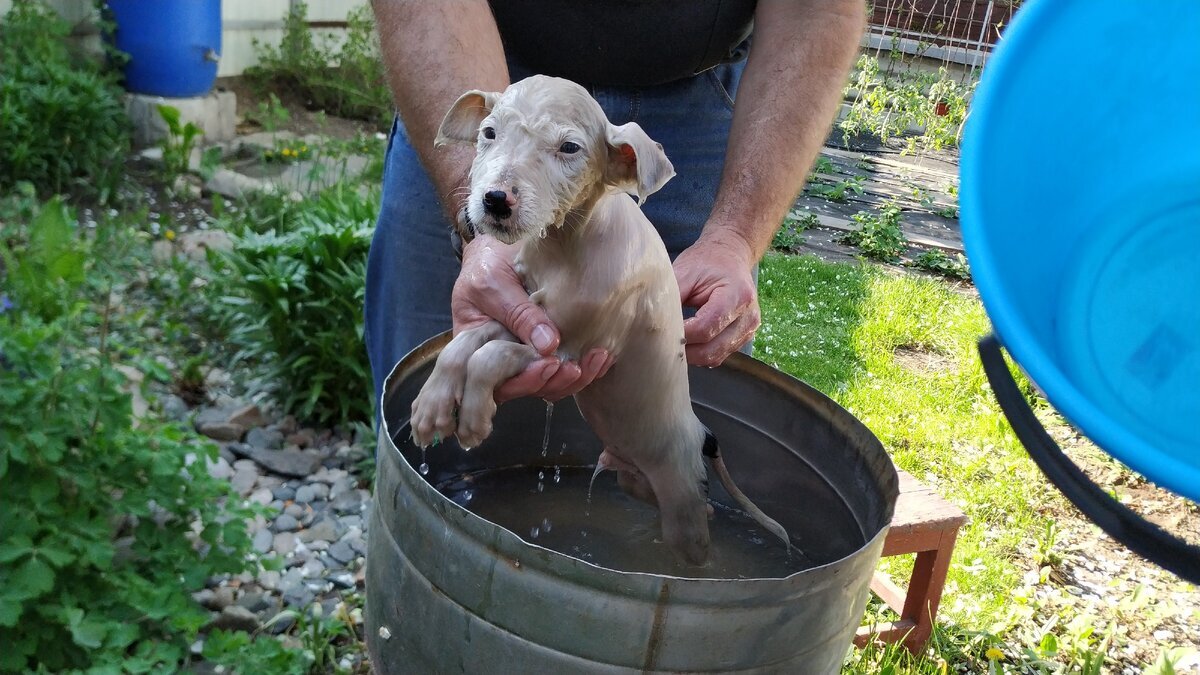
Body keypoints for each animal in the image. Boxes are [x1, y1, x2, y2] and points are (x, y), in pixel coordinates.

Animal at [412, 76, 787, 564]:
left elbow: (490, 356)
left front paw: (474, 417)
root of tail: (702, 432)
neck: (566, 244)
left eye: (569, 147)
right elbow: (466, 343)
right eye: (489, 133)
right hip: (633, 480)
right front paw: (431, 409)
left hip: (681, 506)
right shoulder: (528, 313)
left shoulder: (563, 348)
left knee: (696, 531)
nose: (495, 200)